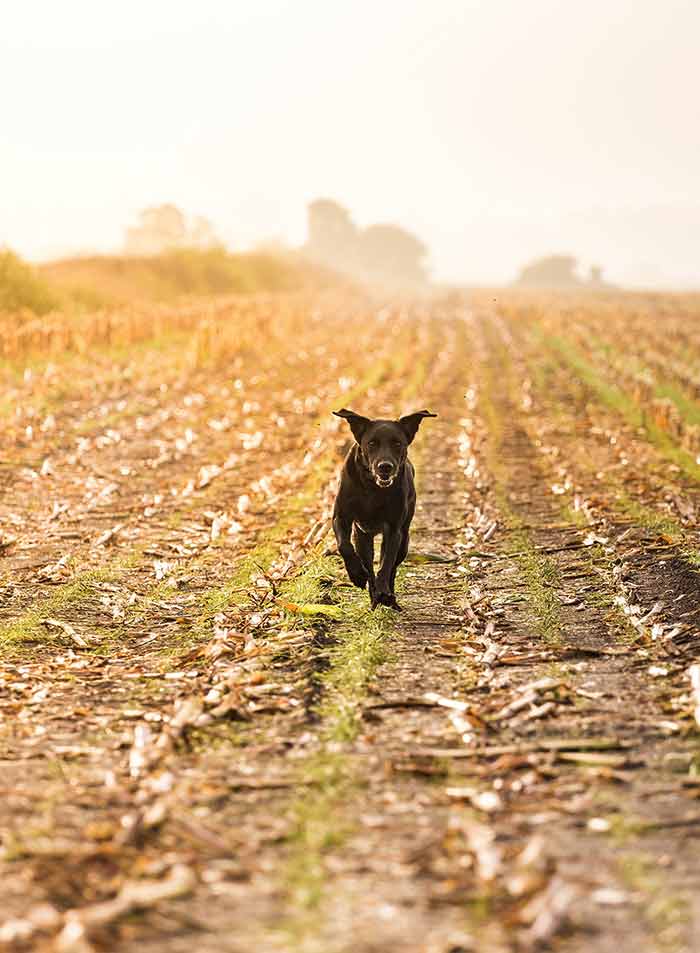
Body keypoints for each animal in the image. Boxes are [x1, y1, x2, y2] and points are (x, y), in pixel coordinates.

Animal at [330, 408, 434, 608]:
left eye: (397, 443)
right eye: (372, 443)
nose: (385, 467)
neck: (373, 489)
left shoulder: (394, 530)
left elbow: (386, 564)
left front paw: (384, 592)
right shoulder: (342, 518)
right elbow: (344, 546)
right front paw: (357, 575)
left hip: (404, 540)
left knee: (392, 566)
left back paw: (388, 597)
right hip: (363, 538)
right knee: (369, 565)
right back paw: (373, 594)